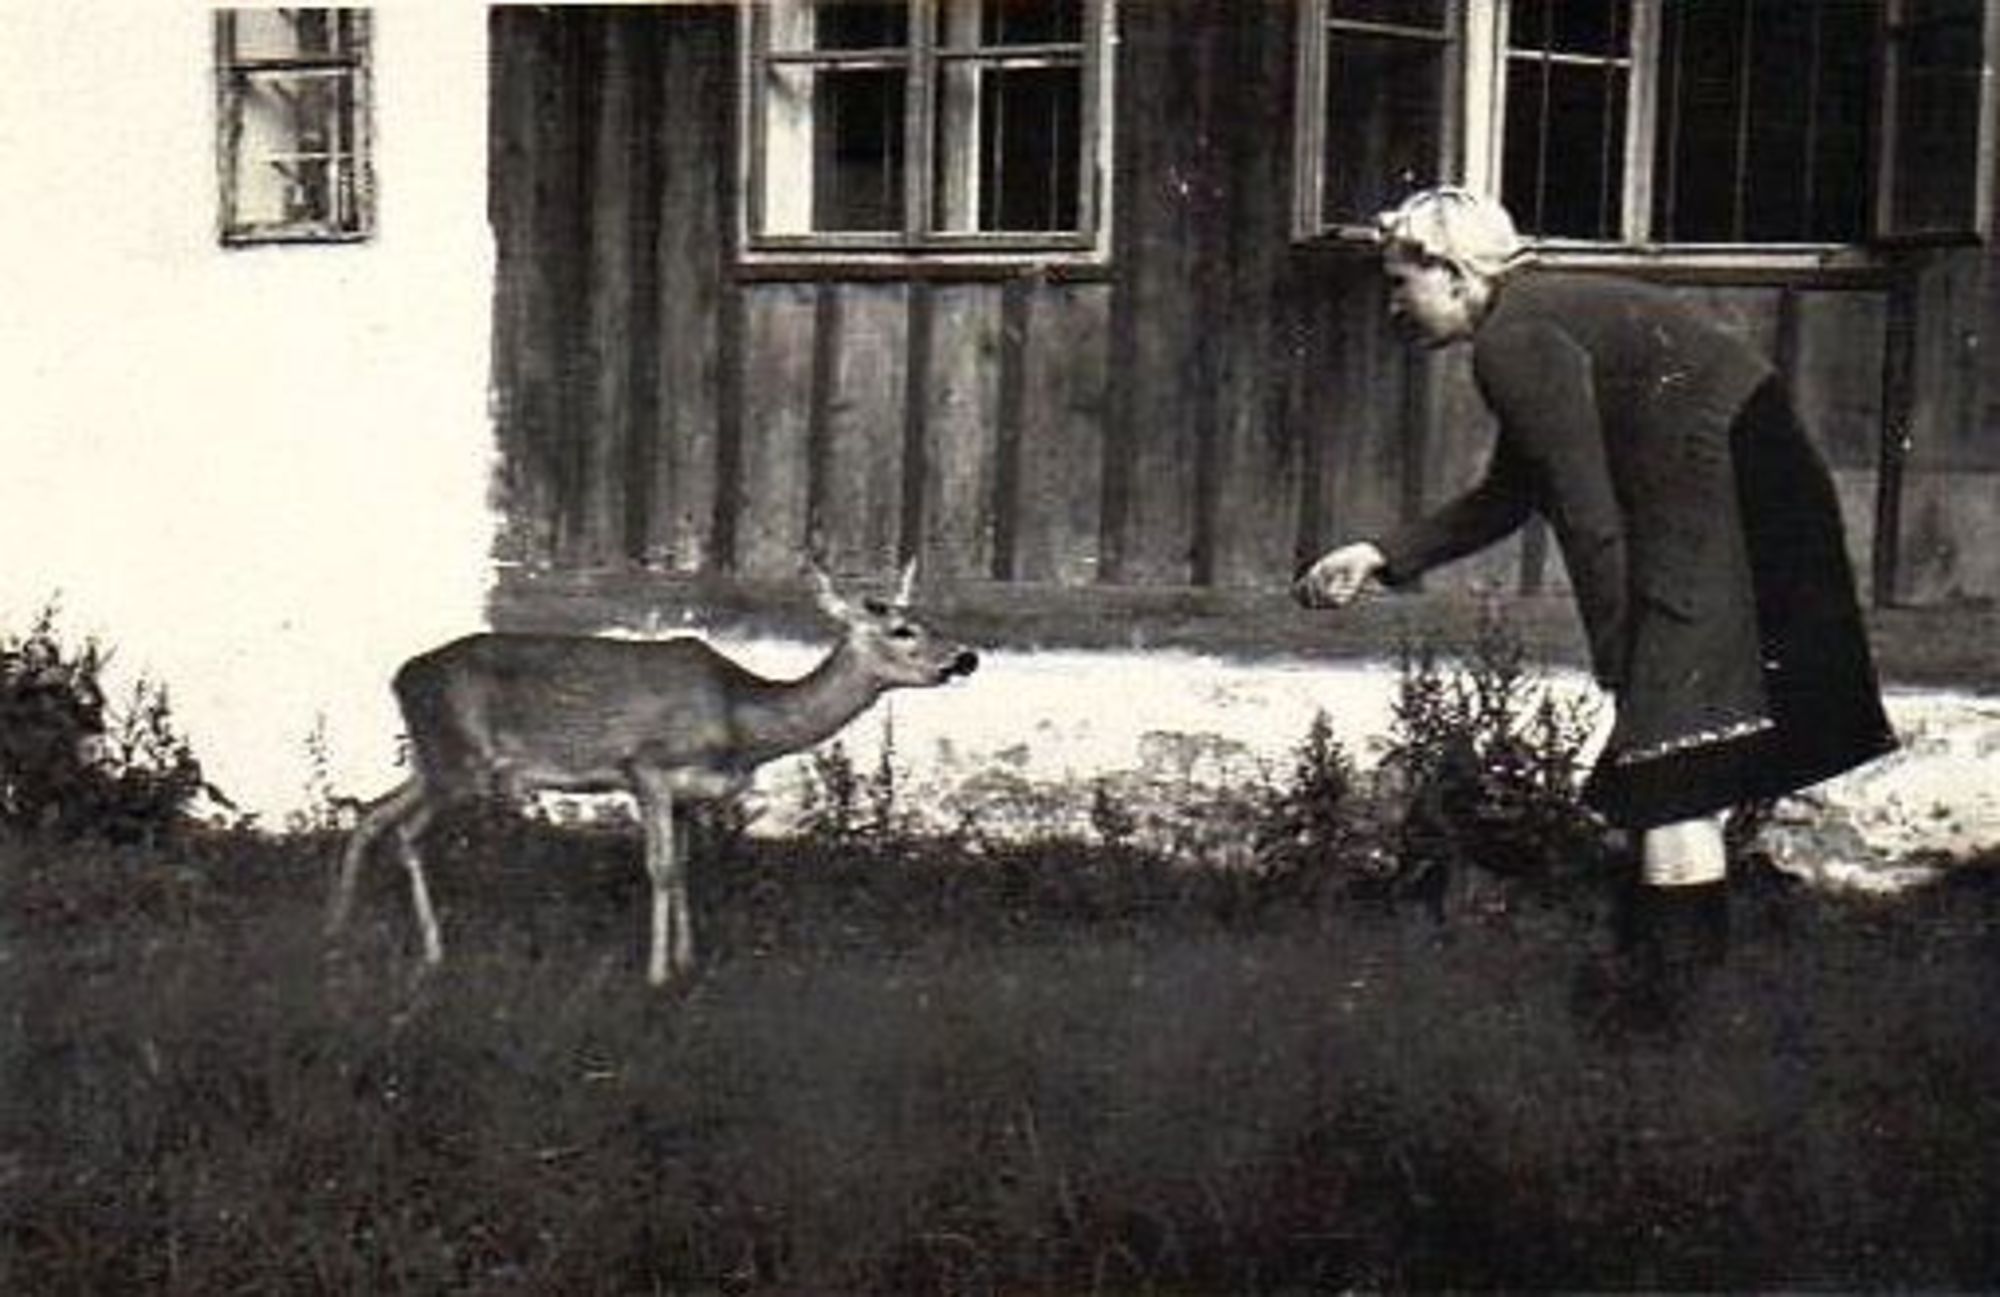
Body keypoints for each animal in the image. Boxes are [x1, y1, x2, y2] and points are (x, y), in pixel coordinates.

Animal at [328, 560, 978, 986]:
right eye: (902, 630)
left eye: (928, 618)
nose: (965, 657)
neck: (740, 721)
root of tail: (400, 677)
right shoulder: (646, 767)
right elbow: (660, 869)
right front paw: (659, 972)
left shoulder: (688, 795)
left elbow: (685, 868)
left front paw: (688, 960)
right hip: (459, 763)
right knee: (404, 831)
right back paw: (432, 952)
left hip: (433, 757)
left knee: (370, 814)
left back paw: (339, 926)